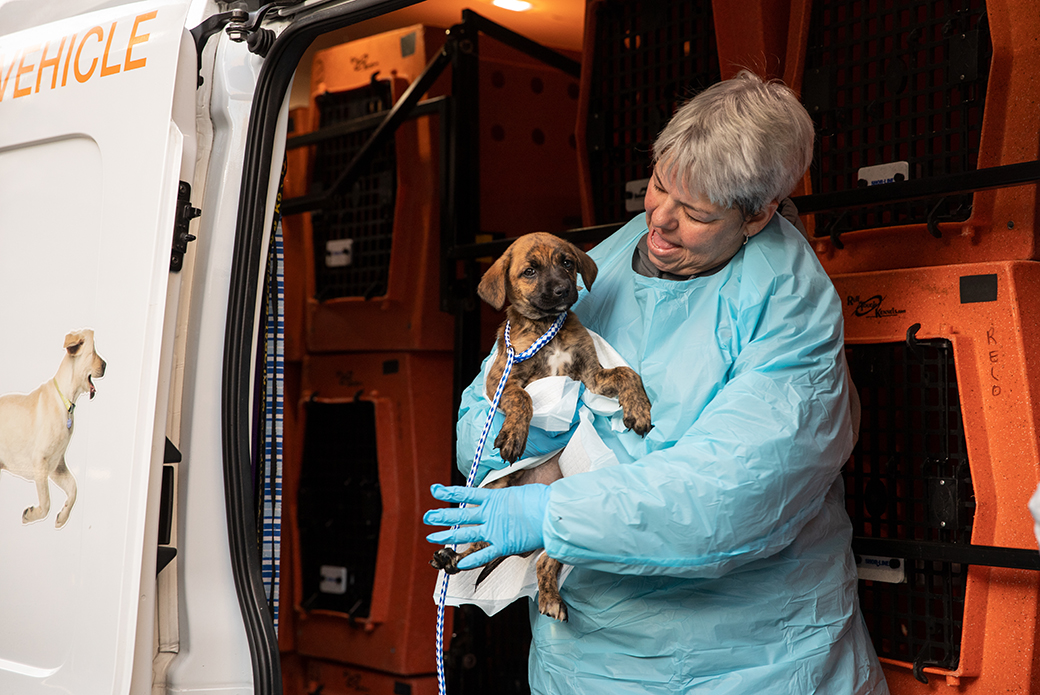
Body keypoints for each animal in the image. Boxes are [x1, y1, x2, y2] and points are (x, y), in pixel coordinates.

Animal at [0, 330, 106, 526]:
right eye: (93, 351)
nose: (106, 366)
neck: (65, 399)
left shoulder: (56, 465)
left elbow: (73, 488)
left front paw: (62, 517)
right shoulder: (40, 462)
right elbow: (46, 504)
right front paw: (30, 515)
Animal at [430, 230, 648, 620]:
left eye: (567, 262)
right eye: (529, 271)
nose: (562, 290)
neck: (547, 327)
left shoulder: (592, 376)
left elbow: (626, 372)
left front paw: (638, 409)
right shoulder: (501, 379)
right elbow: (524, 399)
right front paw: (515, 436)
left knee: (542, 558)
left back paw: (549, 597)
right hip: (498, 491)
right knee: (481, 543)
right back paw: (451, 557)